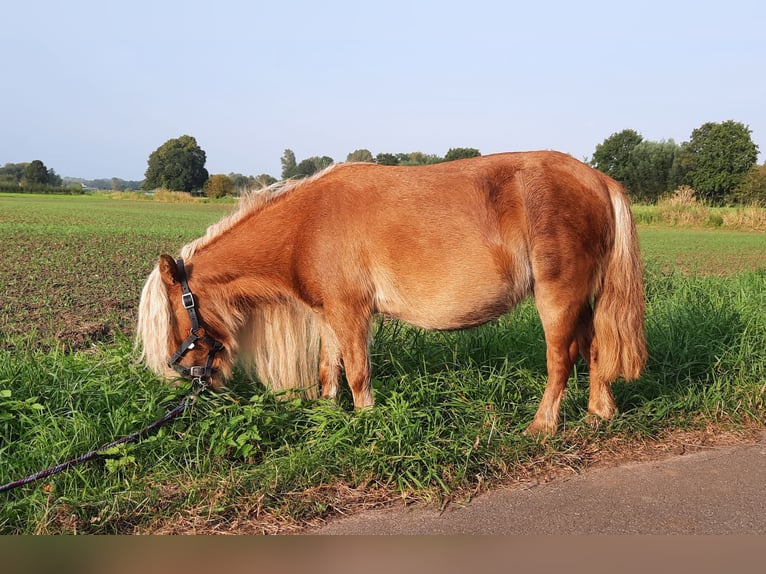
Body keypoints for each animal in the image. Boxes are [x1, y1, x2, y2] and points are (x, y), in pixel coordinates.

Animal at [135, 153, 644, 436]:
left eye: (177, 315)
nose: (187, 379)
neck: (306, 225)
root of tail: (599, 180)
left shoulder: (352, 312)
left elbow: (358, 373)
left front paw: (365, 424)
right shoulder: (330, 314)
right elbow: (330, 370)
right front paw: (329, 416)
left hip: (557, 297)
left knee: (561, 360)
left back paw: (542, 426)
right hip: (583, 299)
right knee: (595, 349)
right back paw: (599, 413)